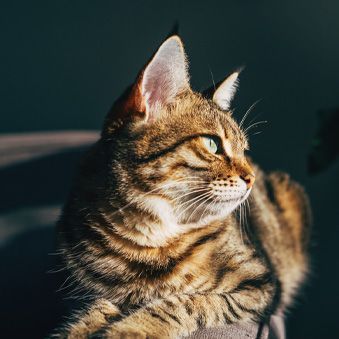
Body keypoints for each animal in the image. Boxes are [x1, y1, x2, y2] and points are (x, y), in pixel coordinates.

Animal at [54, 35, 312, 339]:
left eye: (244, 151)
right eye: (213, 144)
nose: (251, 178)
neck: (151, 237)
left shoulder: (258, 286)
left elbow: (187, 302)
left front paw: (133, 327)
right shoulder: (97, 291)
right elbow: (95, 310)